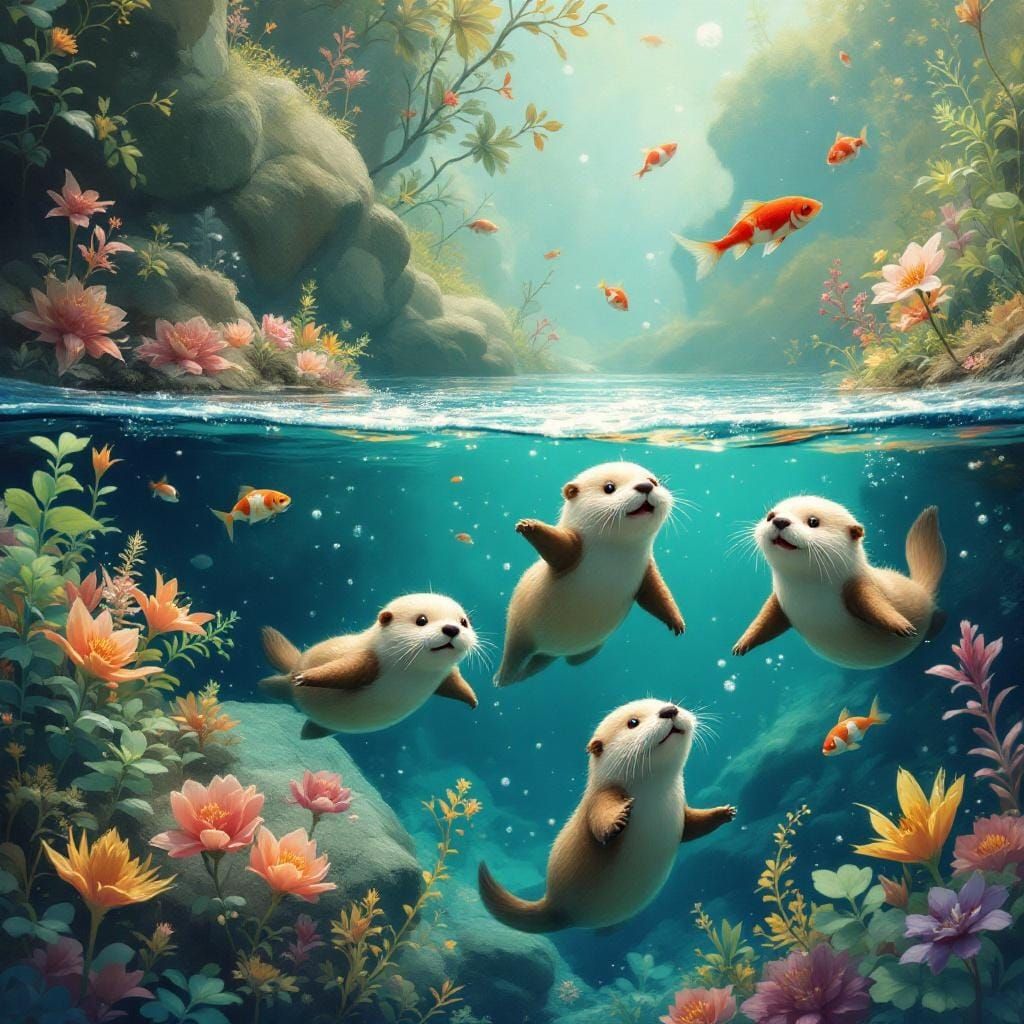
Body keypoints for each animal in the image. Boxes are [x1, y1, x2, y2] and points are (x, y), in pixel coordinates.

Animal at [259, 593, 479, 737]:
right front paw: (306, 677)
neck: (414, 675)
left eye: (463, 622)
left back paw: (308, 731)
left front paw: (472, 699)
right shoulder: (368, 659)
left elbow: (455, 682)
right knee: (282, 685)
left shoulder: (446, 674)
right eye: (422, 620)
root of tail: (296, 662)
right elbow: (340, 672)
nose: (452, 629)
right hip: (288, 684)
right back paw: (269, 684)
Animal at [477, 698, 736, 932]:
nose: (669, 710)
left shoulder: (680, 805)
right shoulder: (601, 798)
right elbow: (599, 822)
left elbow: (692, 824)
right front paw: (617, 821)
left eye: (667, 702)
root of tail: (552, 906)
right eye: (633, 722)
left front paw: (723, 812)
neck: (656, 793)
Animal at [494, 462, 685, 686]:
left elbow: (657, 594)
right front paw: (530, 526)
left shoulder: (647, 569)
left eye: (654, 481)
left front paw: (676, 621)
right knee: (514, 656)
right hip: (519, 631)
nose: (646, 486)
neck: (616, 551)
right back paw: (502, 678)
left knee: (545, 662)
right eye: (609, 487)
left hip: (566, 652)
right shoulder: (573, 547)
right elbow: (557, 545)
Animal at [733, 497, 945, 669]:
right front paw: (743, 642)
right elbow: (766, 619)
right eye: (770, 516)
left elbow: (875, 605)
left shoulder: (860, 585)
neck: (807, 591)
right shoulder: (779, 598)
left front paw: (900, 624)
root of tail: (921, 588)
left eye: (813, 521)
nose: (780, 521)